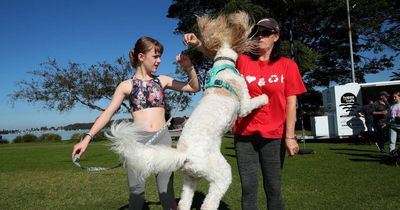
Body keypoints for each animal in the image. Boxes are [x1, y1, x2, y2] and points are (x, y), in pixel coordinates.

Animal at [108, 11, 268, 210]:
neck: (223, 65)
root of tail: (183, 154)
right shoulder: (244, 104)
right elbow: (253, 103)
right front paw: (265, 98)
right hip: (221, 173)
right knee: (209, 202)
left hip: (190, 179)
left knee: (184, 203)